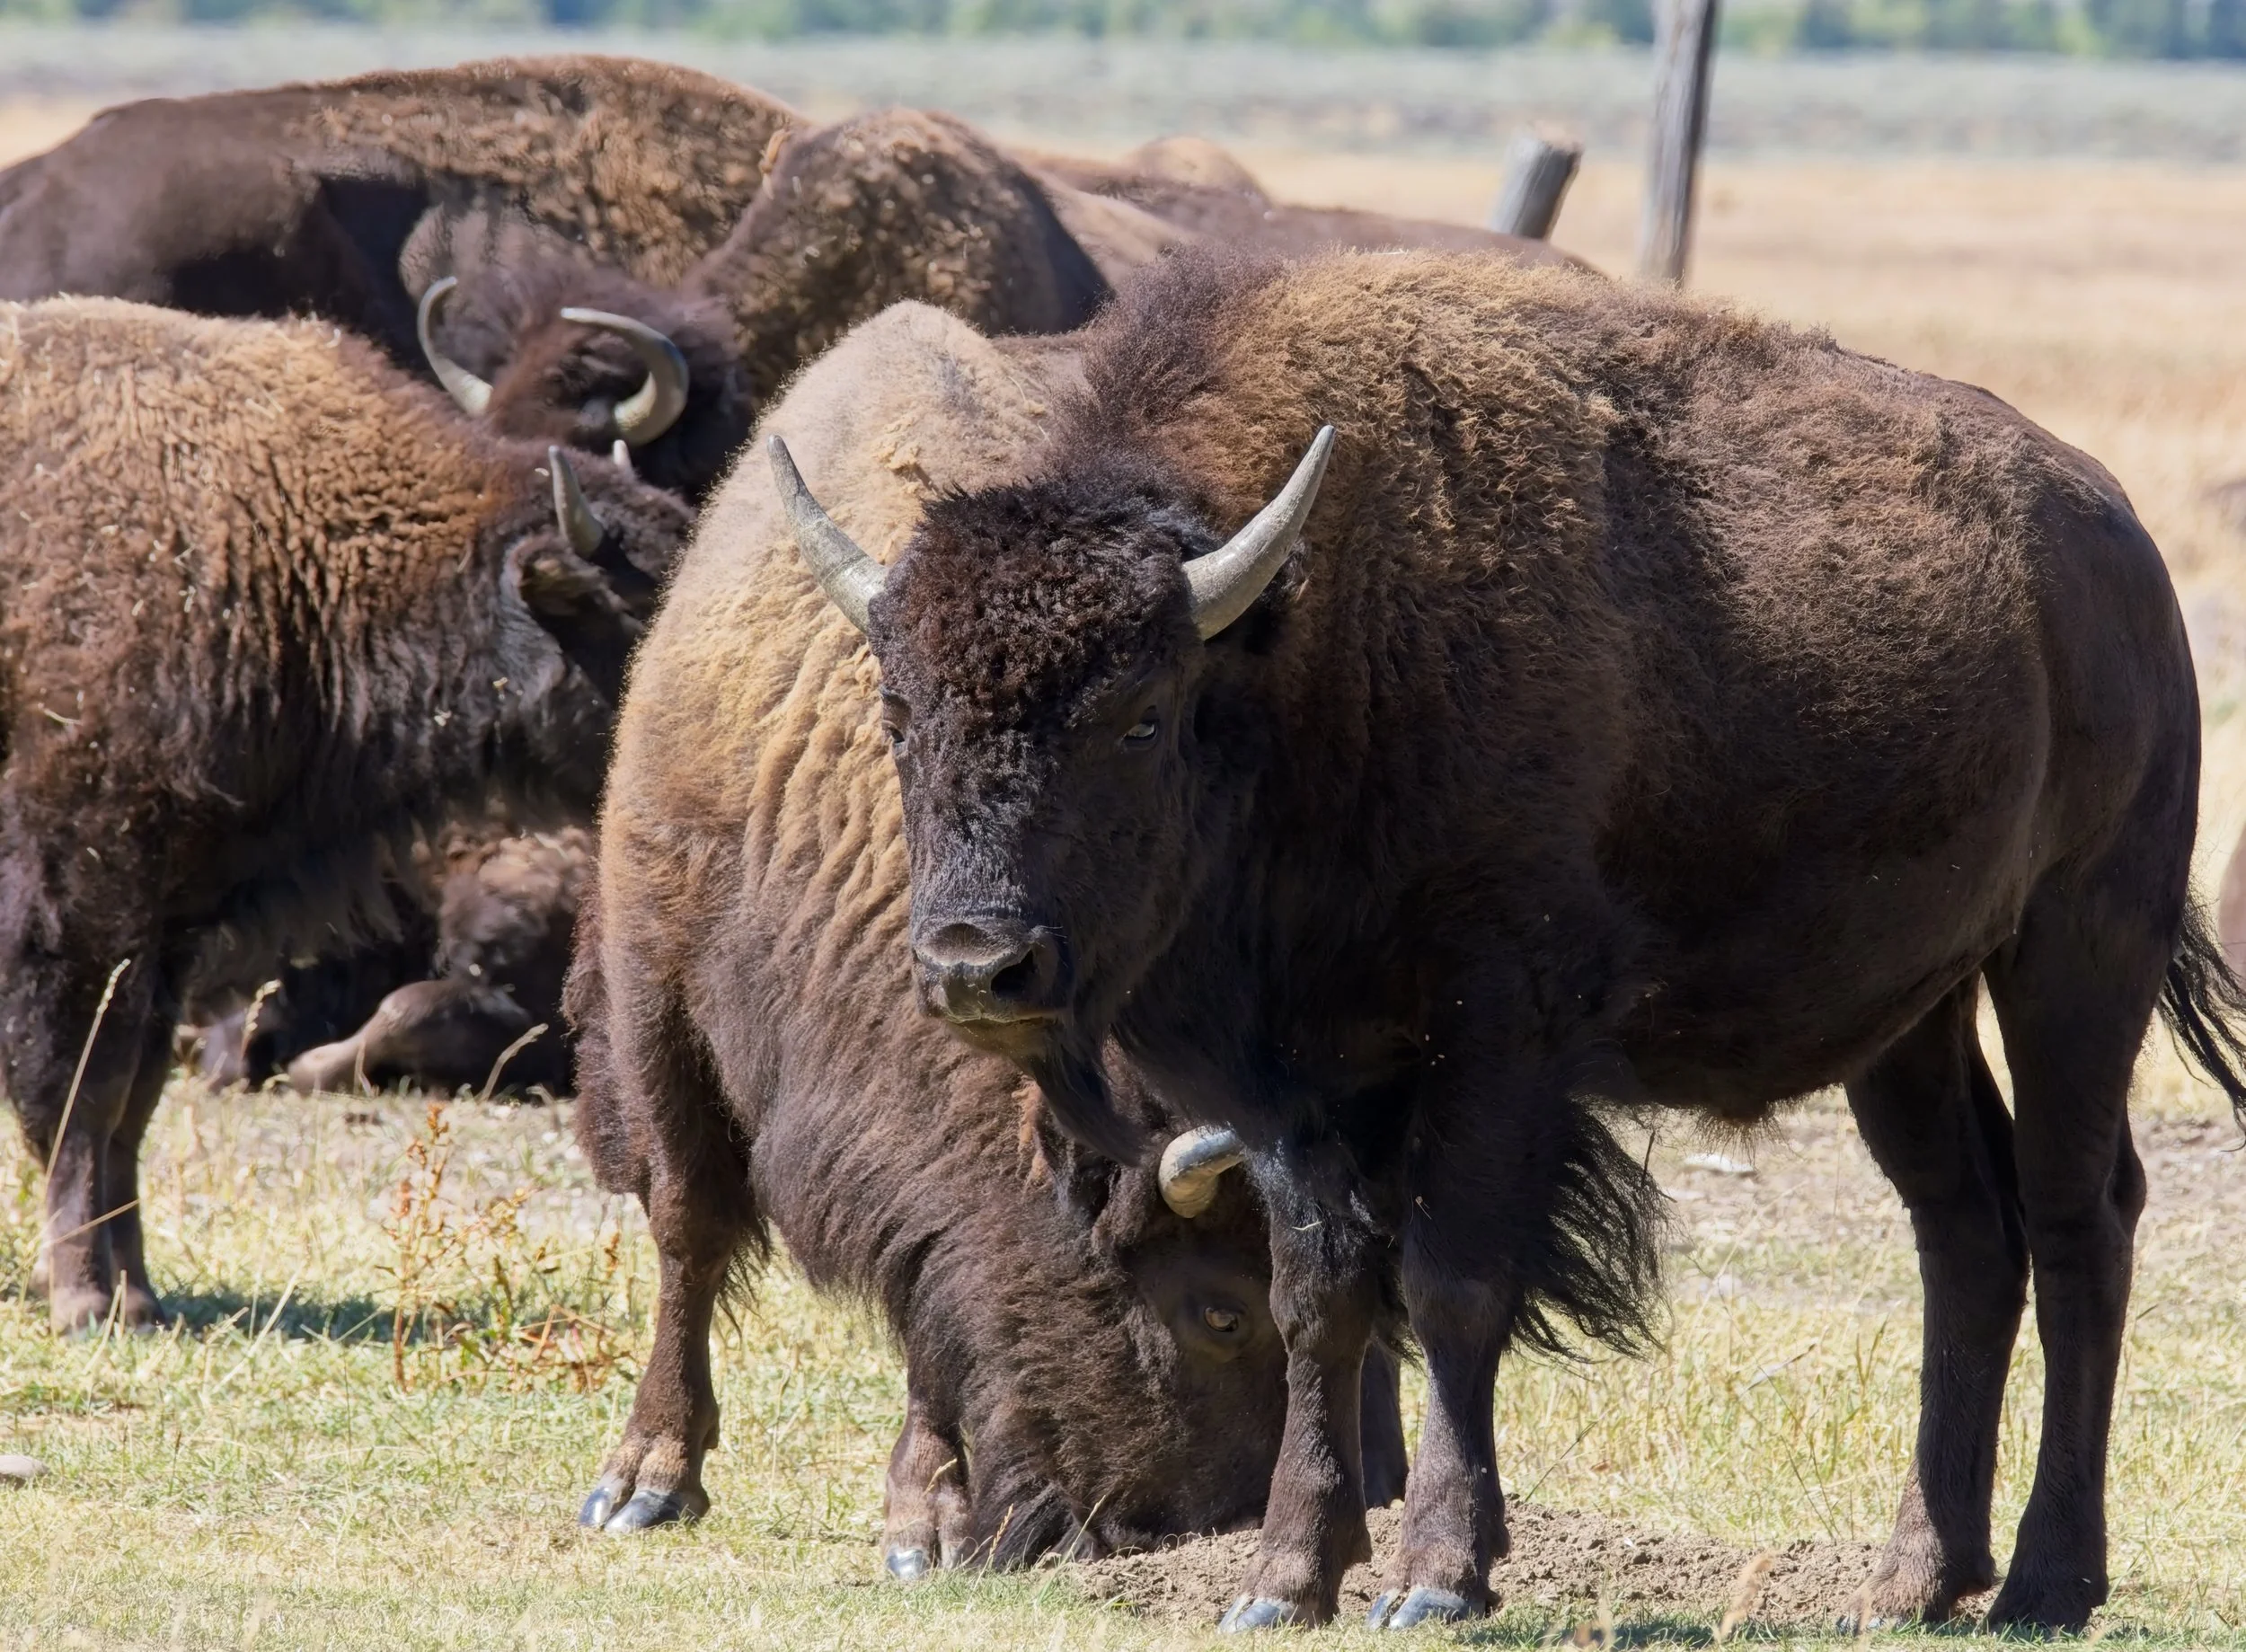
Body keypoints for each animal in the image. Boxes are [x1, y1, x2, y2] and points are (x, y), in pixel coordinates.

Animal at [0, 296, 689, 1332]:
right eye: (638, 611)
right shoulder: (85, 898)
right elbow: (83, 1088)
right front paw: (86, 1297)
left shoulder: (172, 918)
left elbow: (131, 1098)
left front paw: (139, 1292)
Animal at [567, 302, 1407, 1561]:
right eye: (1216, 1311)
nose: (1204, 1524)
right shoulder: (656, 990)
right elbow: (687, 1221)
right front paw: (643, 1480)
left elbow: (928, 1290)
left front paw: (924, 1513)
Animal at [776, 248, 2246, 1632]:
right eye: (898, 710)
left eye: (1138, 715)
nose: (976, 965)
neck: (1301, 648)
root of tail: (2120, 551)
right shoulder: (1299, 1087)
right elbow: (1322, 1298)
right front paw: (1284, 1579)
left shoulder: (1497, 1039)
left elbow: (1452, 1284)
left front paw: (1435, 1577)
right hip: (1909, 1021)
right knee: (1963, 1233)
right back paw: (1910, 1582)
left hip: (2077, 948)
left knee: (2078, 1216)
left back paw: (2048, 1582)